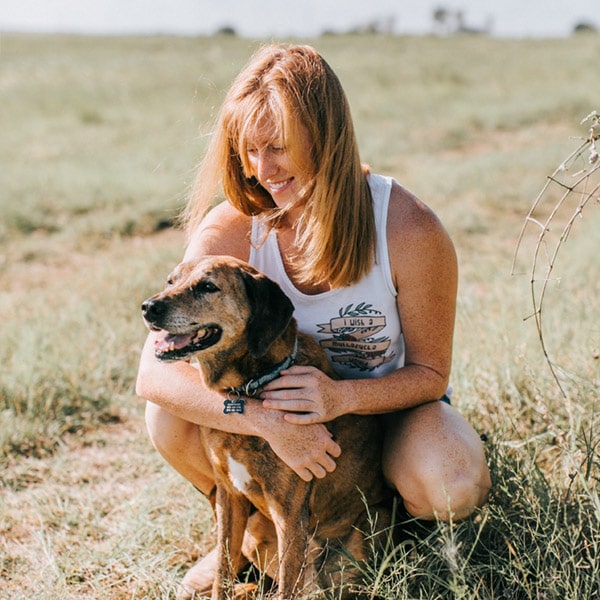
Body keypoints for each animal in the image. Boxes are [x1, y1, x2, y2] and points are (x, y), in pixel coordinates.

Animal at [142, 255, 392, 596]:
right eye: (171, 281)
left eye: (207, 286)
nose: (148, 307)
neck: (249, 387)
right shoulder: (229, 498)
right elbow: (222, 571)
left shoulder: (289, 513)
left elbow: (286, 587)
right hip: (254, 530)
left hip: (368, 526)